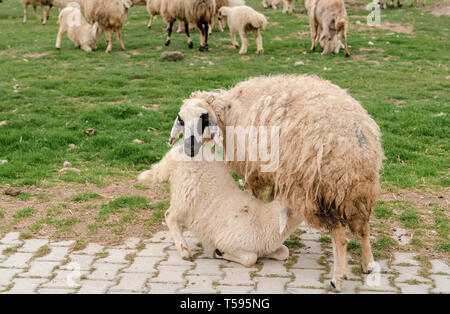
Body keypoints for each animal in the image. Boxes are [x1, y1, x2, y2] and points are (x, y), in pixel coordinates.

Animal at [135, 144, 300, 266]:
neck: (264, 220)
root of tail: (176, 151)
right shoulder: (228, 240)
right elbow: (251, 259)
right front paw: (220, 253)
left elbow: (284, 252)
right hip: (185, 192)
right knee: (170, 216)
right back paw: (184, 250)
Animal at [167, 73, 384, 292]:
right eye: (181, 120)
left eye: (204, 117)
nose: (189, 147)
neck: (229, 111)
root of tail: (354, 145)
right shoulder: (274, 175)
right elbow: (272, 201)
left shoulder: (255, 171)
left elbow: (257, 199)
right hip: (359, 191)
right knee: (364, 226)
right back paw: (368, 264)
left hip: (313, 189)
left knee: (339, 233)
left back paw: (337, 279)